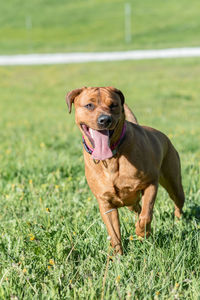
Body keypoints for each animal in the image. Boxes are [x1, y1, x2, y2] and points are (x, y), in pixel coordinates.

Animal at [65, 86, 184, 253]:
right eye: (89, 105)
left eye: (113, 105)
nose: (105, 120)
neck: (110, 159)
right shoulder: (105, 203)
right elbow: (114, 234)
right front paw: (117, 257)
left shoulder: (150, 184)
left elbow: (146, 215)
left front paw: (142, 232)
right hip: (130, 202)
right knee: (137, 208)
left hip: (174, 183)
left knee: (176, 203)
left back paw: (179, 222)